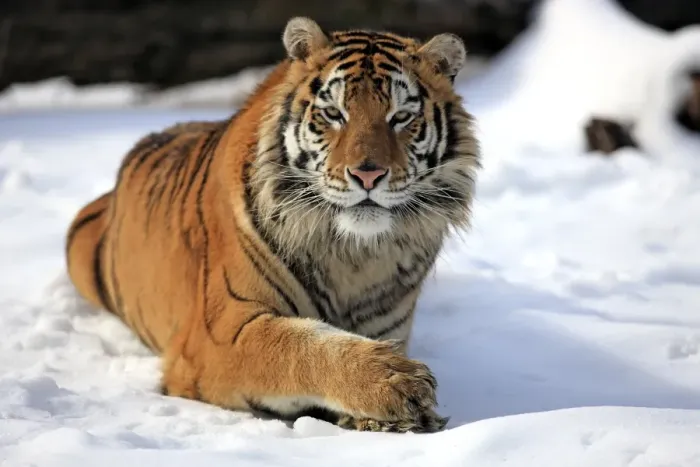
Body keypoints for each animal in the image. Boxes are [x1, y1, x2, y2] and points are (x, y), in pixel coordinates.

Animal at [65, 17, 480, 433]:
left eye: (401, 117)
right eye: (334, 114)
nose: (368, 174)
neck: (353, 255)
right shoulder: (221, 335)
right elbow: (300, 346)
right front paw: (395, 382)